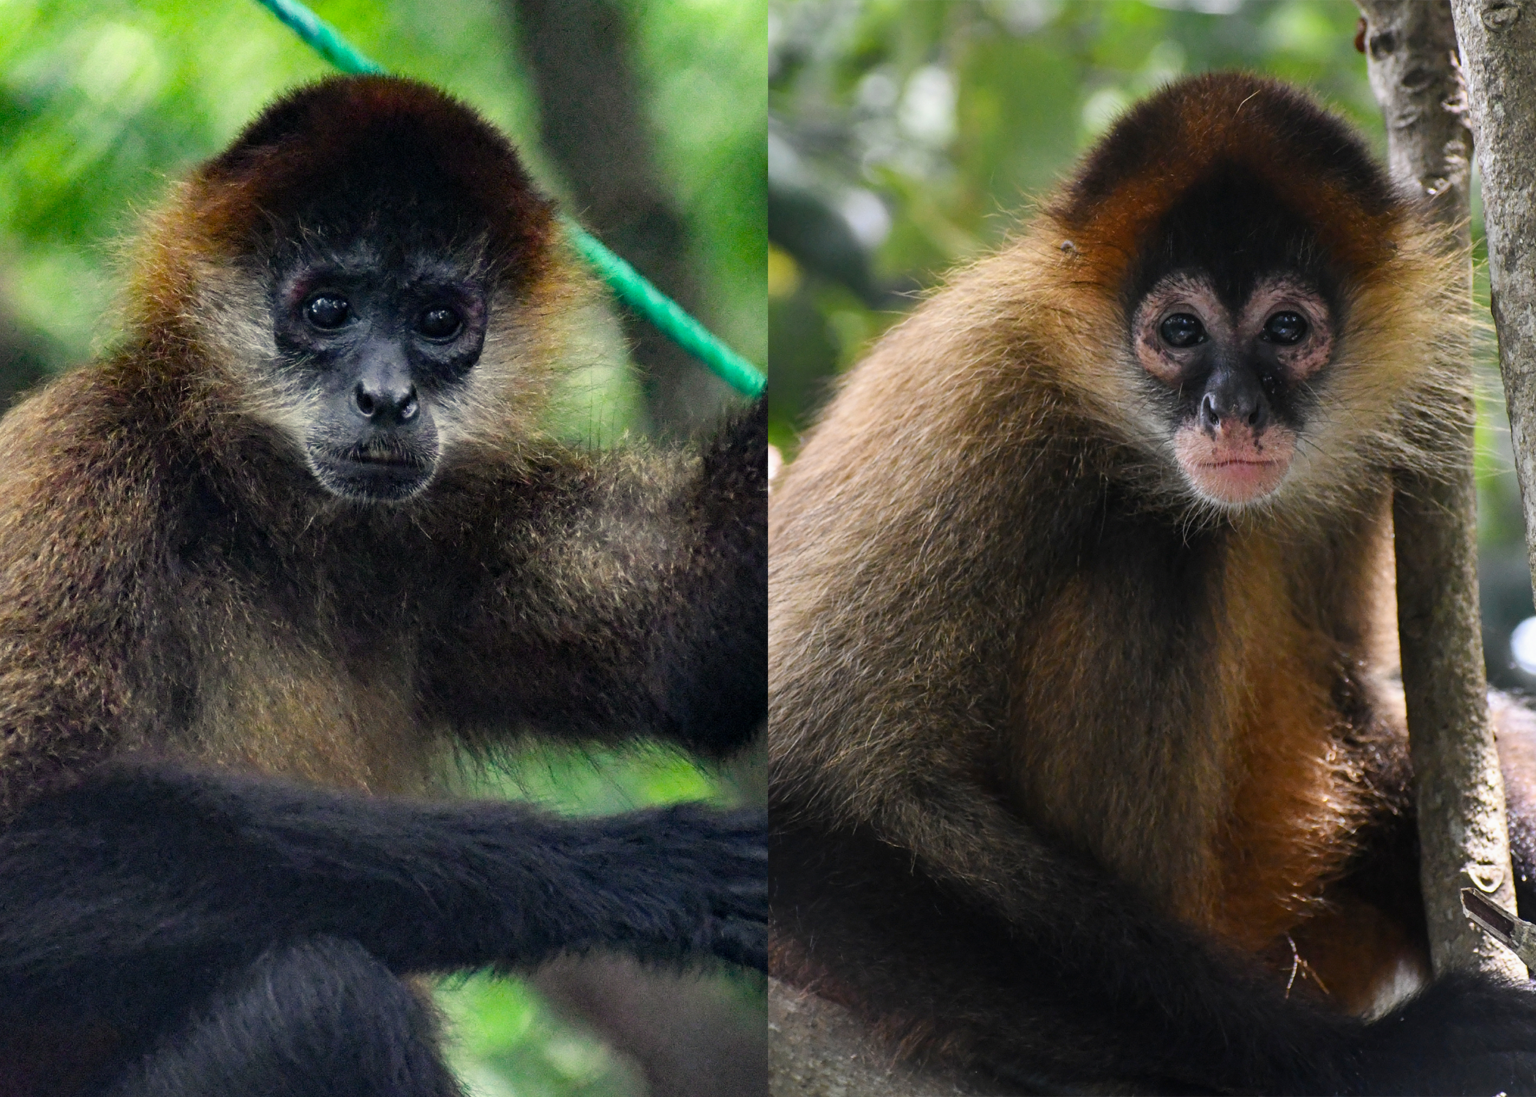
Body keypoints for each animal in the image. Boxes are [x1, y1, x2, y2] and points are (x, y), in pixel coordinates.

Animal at [0, 75, 766, 1097]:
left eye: (438, 321)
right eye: (327, 308)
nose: (387, 396)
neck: (261, 518)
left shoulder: (443, 542)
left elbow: (699, 639)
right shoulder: (85, 459)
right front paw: (635, 865)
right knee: (328, 1001)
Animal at [768, 72, 1536, 1095]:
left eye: (1286, 330)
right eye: (1179, 331)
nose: (1231, 407)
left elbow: (1362, 690)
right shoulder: (985, 384)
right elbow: (804, 806)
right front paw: (1387, 1058)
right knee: (1154, 542)